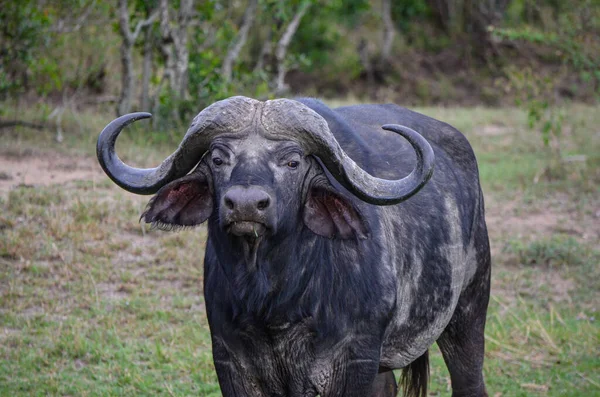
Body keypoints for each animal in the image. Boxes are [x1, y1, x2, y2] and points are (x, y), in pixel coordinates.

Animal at [98, 96, 490, 396]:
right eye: (218, 158)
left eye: (292, 161)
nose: (245, 205)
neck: (276, 299)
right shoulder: (229, 360)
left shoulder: (355, 360)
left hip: (468, 312)